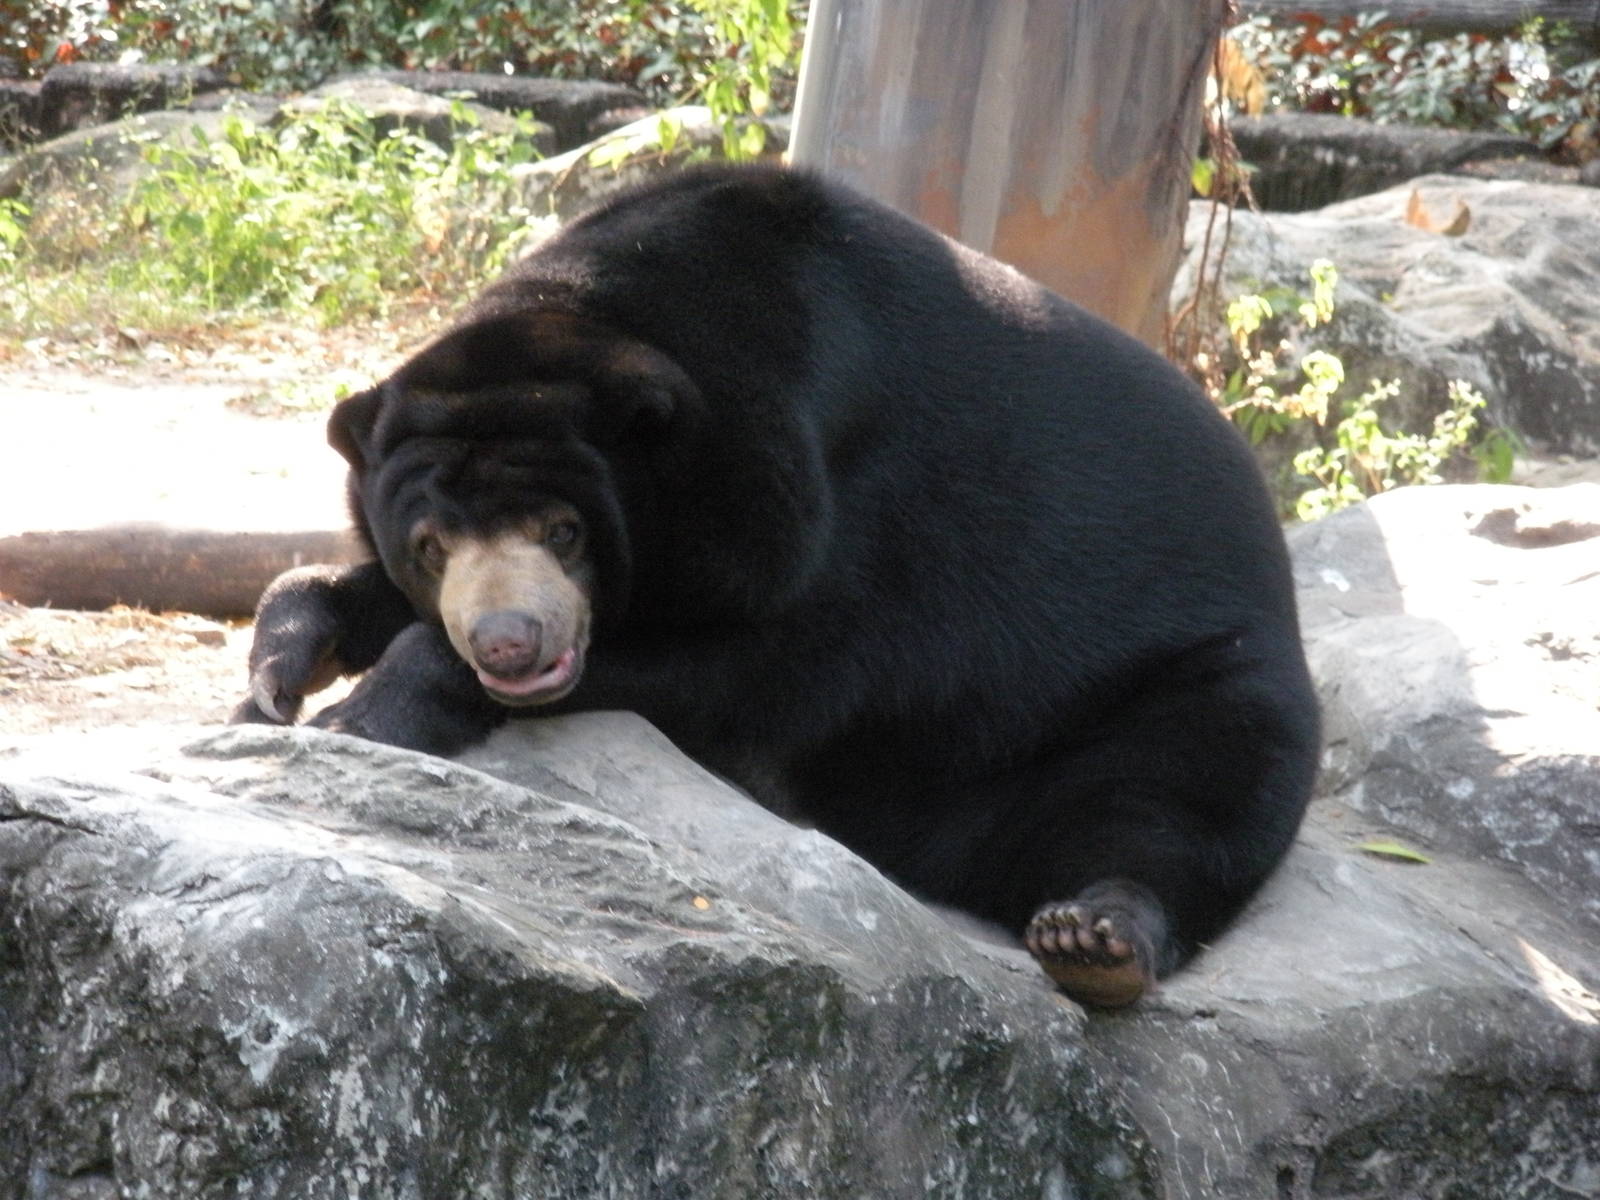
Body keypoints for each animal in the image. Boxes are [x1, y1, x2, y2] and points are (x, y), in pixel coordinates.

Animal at [233, 163, 1321, 1008]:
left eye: (565, 531)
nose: (512, 643)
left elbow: (753, 671)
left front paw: (369, 715)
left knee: (1178, 797)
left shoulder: (834, 515)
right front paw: (277, 679)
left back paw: (1094, 938)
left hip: (1176, 677)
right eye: (432, 543)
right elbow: (339, 591)